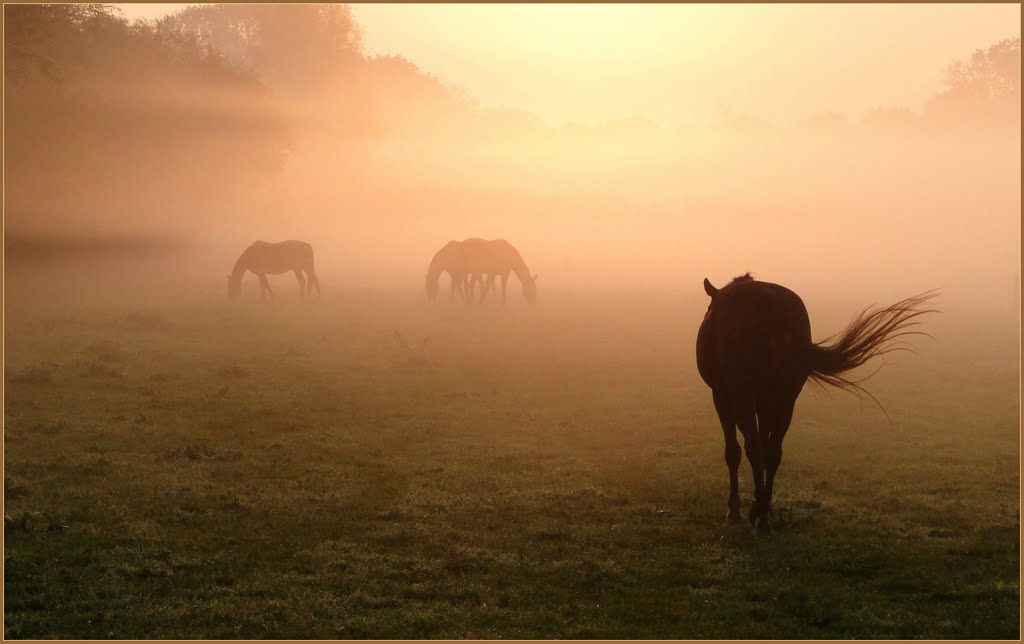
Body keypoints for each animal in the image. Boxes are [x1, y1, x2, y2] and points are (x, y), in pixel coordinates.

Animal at [696, 274, 937, 536]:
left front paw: (734, 509)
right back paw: (765, 512)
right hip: (785, 398)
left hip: (746, 396)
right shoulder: (765, 400)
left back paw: (760, 515)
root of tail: (770, 306)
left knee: (754, 447)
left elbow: (733, 451)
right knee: (772, 451)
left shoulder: (722, 394)